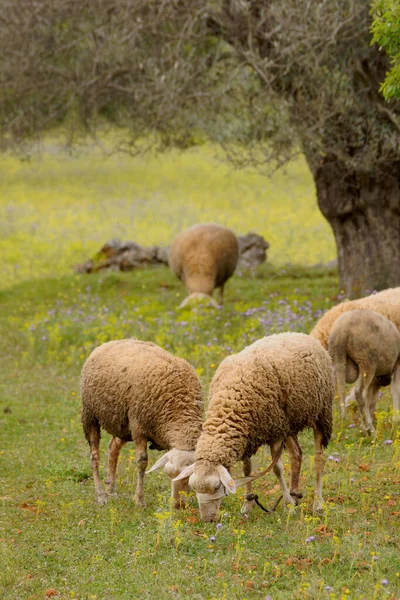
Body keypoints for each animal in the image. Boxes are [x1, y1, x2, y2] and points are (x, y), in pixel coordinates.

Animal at [80, 340, 205, 508]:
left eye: (189, 477)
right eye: (169, 475)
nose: (177, 505)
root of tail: (109, 343)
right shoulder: (139, 428)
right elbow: (142, 462)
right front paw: (139, 500)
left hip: (123, 424)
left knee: (113, 448)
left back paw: (110, 490)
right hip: (90, 415)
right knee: (94, 457)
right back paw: (101, 496)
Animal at [172, 330, 334, 524]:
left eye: (217, 486)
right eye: (193, 488)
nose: (208, 520)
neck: (229, 402)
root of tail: (298, 333)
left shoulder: (274, 431)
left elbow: (277, 469)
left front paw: (287, 505)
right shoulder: (247, 434)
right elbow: (247, 469)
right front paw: (248, 504)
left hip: (320, 413)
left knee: (318, 459)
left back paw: (317, 503)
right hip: (289, 423)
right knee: (297, 454)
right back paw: (294, 496)